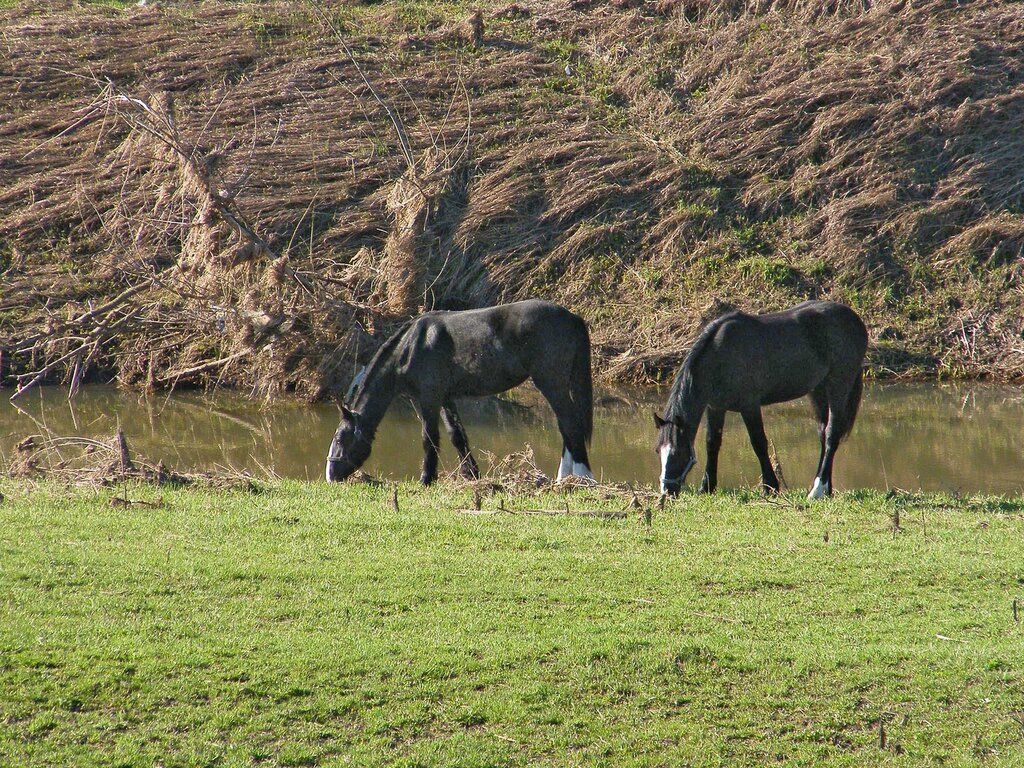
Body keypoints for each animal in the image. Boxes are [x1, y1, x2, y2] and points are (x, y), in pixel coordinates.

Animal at [327, 301, 593, 487]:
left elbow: (429, 438)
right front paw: (472, 475)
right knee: (566, 426)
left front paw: (426, 479)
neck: (412, 347)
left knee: (570, 423)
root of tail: (572, 317)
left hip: (551, 383)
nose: (330, 476)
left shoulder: (428, 399)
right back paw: (564, 478)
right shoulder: (446, 399)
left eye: (340, 439)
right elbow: (457, 436)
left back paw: (583, 478)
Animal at [655, 301, 864, 499]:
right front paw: (706, 487)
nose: (666, 492)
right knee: (823, 432)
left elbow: (758, 443)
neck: (719, 355)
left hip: (839, 386)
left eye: (677, 453)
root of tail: (855, 319)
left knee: (831, 434)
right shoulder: (715, 407)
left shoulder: (750, 406)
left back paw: (817, 490)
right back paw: (825, 487)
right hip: (818, 390)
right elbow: (712, 443)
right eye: (658, 451)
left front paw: (770, 487)